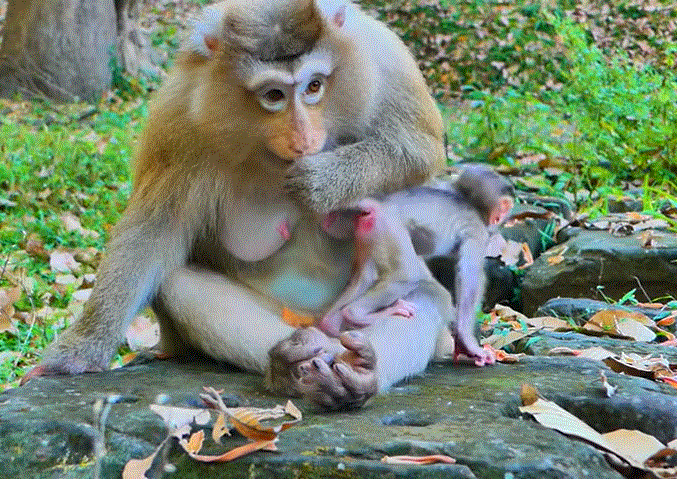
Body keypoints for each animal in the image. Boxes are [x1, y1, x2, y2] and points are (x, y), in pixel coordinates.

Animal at [23, 0, 446, 411]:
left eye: (313, 86)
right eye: (273, 95)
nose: (303, 138)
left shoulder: (384, 60)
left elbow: (418, 151)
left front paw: (324, 180)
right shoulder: (178, 119)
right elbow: (153, 230)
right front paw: (78, 352)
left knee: (421, 298)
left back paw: (359, 372)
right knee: (180, 284)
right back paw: (294, 367)